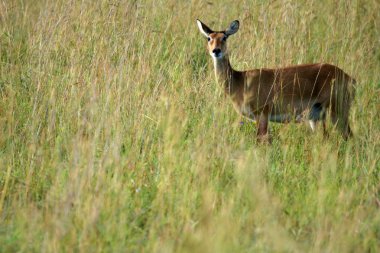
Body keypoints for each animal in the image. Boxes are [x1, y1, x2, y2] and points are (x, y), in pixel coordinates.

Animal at [196, 19, 356, 142]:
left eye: (224, 37)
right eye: (209, 38)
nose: (216, 51)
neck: (240, 81)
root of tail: (349, 77)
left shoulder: (262, 115)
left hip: (337, 112)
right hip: (316, 118)